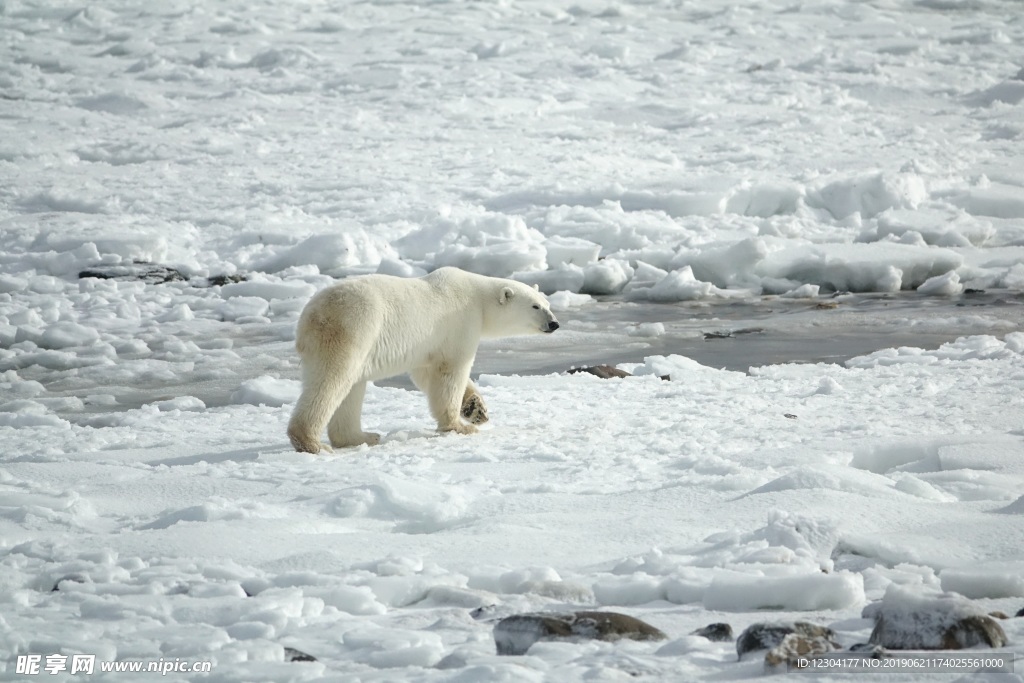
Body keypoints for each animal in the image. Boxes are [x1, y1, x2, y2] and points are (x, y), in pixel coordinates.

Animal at [286, 266, 561, 454]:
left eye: (547, 303)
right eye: (535, 306)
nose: (554, 323)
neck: (478, 298)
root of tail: (309, 317)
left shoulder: (428, 345)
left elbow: (426, 373)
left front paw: (476, 410)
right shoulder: (459, 323)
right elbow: (451, 372)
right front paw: (460, 426)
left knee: (351, 387)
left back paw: (363, 436)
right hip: (353, 328)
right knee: (333, 380)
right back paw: (312, 443)